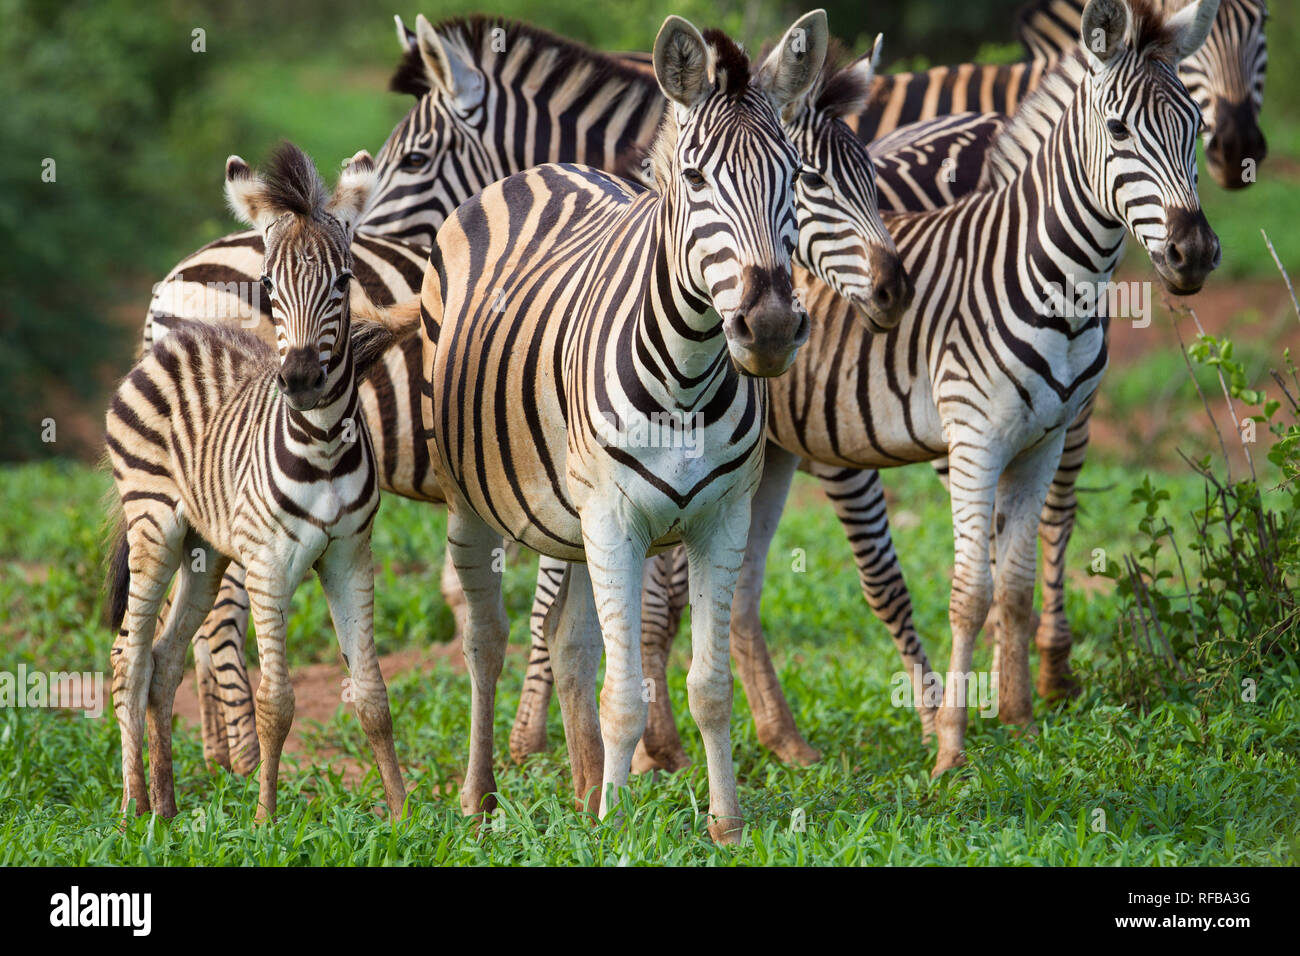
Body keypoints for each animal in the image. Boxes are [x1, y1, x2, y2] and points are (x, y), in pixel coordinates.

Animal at [109, 145, 408, 816]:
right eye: (268, 286)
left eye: (344, 282)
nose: (297, 379)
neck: (323, 448)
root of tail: (171, 338)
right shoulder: (270, 562)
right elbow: (278, 702)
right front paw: (267, 817)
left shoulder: (350, 556)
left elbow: (373, 696)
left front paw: (406, 816)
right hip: (154, 527)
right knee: (129, 657)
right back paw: (132, 809)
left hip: (204, 549)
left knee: (164, 659)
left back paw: (166, 810)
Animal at [423, 13, 832, 837]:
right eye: (698, 181)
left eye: (795, 179)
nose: (771, 326)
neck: (689, 375)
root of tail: (540, 170)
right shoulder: (615, 521)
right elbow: (625, 696)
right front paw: (617, 828)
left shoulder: (720, 520)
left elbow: (708, 686)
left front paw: (724, 824)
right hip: (469, 502)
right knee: (486, 643)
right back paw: (482, 800)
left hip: (568, 521)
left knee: (571, 643)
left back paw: (583, 793)